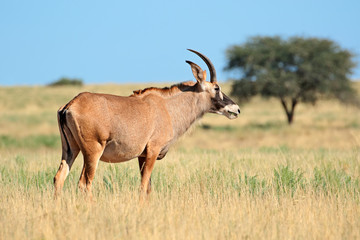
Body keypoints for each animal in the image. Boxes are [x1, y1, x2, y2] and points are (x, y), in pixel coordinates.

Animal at [53, 48, 240, 197]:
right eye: (216, 88)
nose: (236, 109)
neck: (167, 107)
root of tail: (69, 106)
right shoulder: (152, 151)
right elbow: (143, 186)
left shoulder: (141, 156)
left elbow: (148, 187)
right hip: (93, 152)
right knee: (85, 183)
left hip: (71, 150)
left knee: (59, 177)